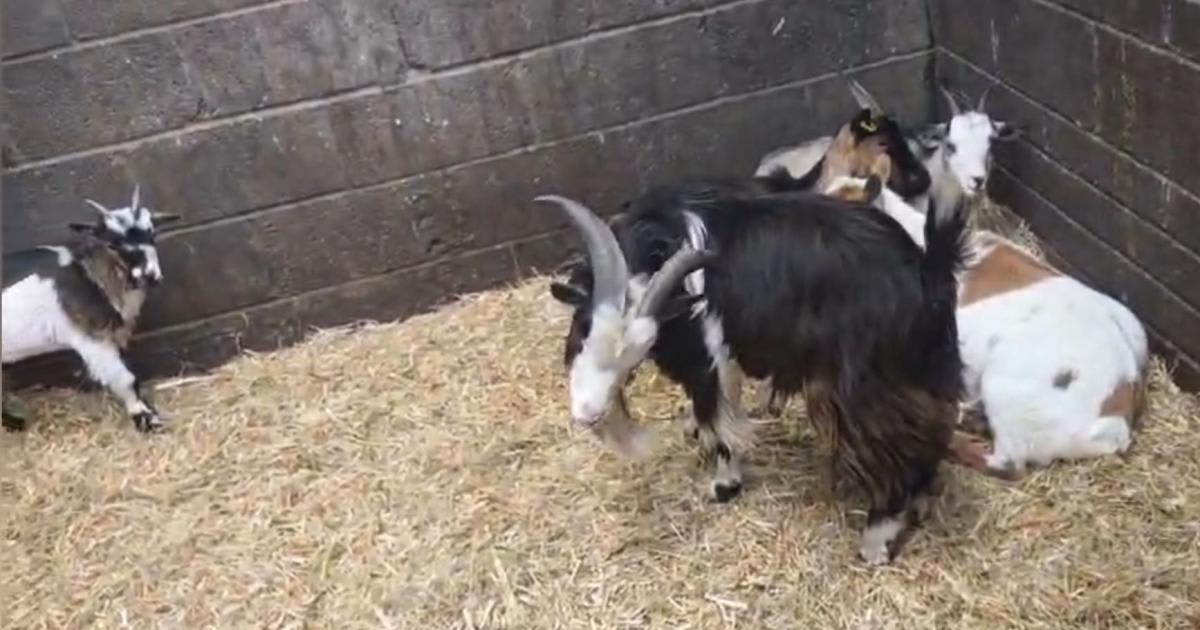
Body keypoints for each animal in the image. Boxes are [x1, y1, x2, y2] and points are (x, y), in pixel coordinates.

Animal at [2, 186, 180, 432]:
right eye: (112, 243)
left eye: (151, 233)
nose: (149, 275)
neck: (89, 274)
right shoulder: (89, 338)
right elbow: (124, 378)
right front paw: (145, 418)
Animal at [542, 185, 968, 565]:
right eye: (583, 326)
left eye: (640, 349)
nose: (587, 415)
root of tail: (928, 272)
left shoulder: (712, 360)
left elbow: (719, 423)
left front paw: (723, 486)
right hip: (921, 374)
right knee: (932, 428)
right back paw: (919, 505)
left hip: (861, 389)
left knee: (892, 446)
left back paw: (877, 541)